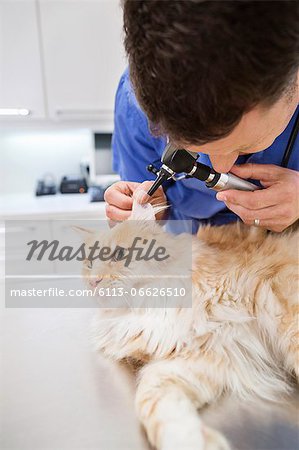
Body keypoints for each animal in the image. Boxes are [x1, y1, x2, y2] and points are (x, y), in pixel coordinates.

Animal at [78, 198, 299, 450]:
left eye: (119, 254)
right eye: (89, 263)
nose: (93, 282)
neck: (147, 304)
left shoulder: (278, 296)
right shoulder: (200, 357)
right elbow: (153, 403)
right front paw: (191, 440)